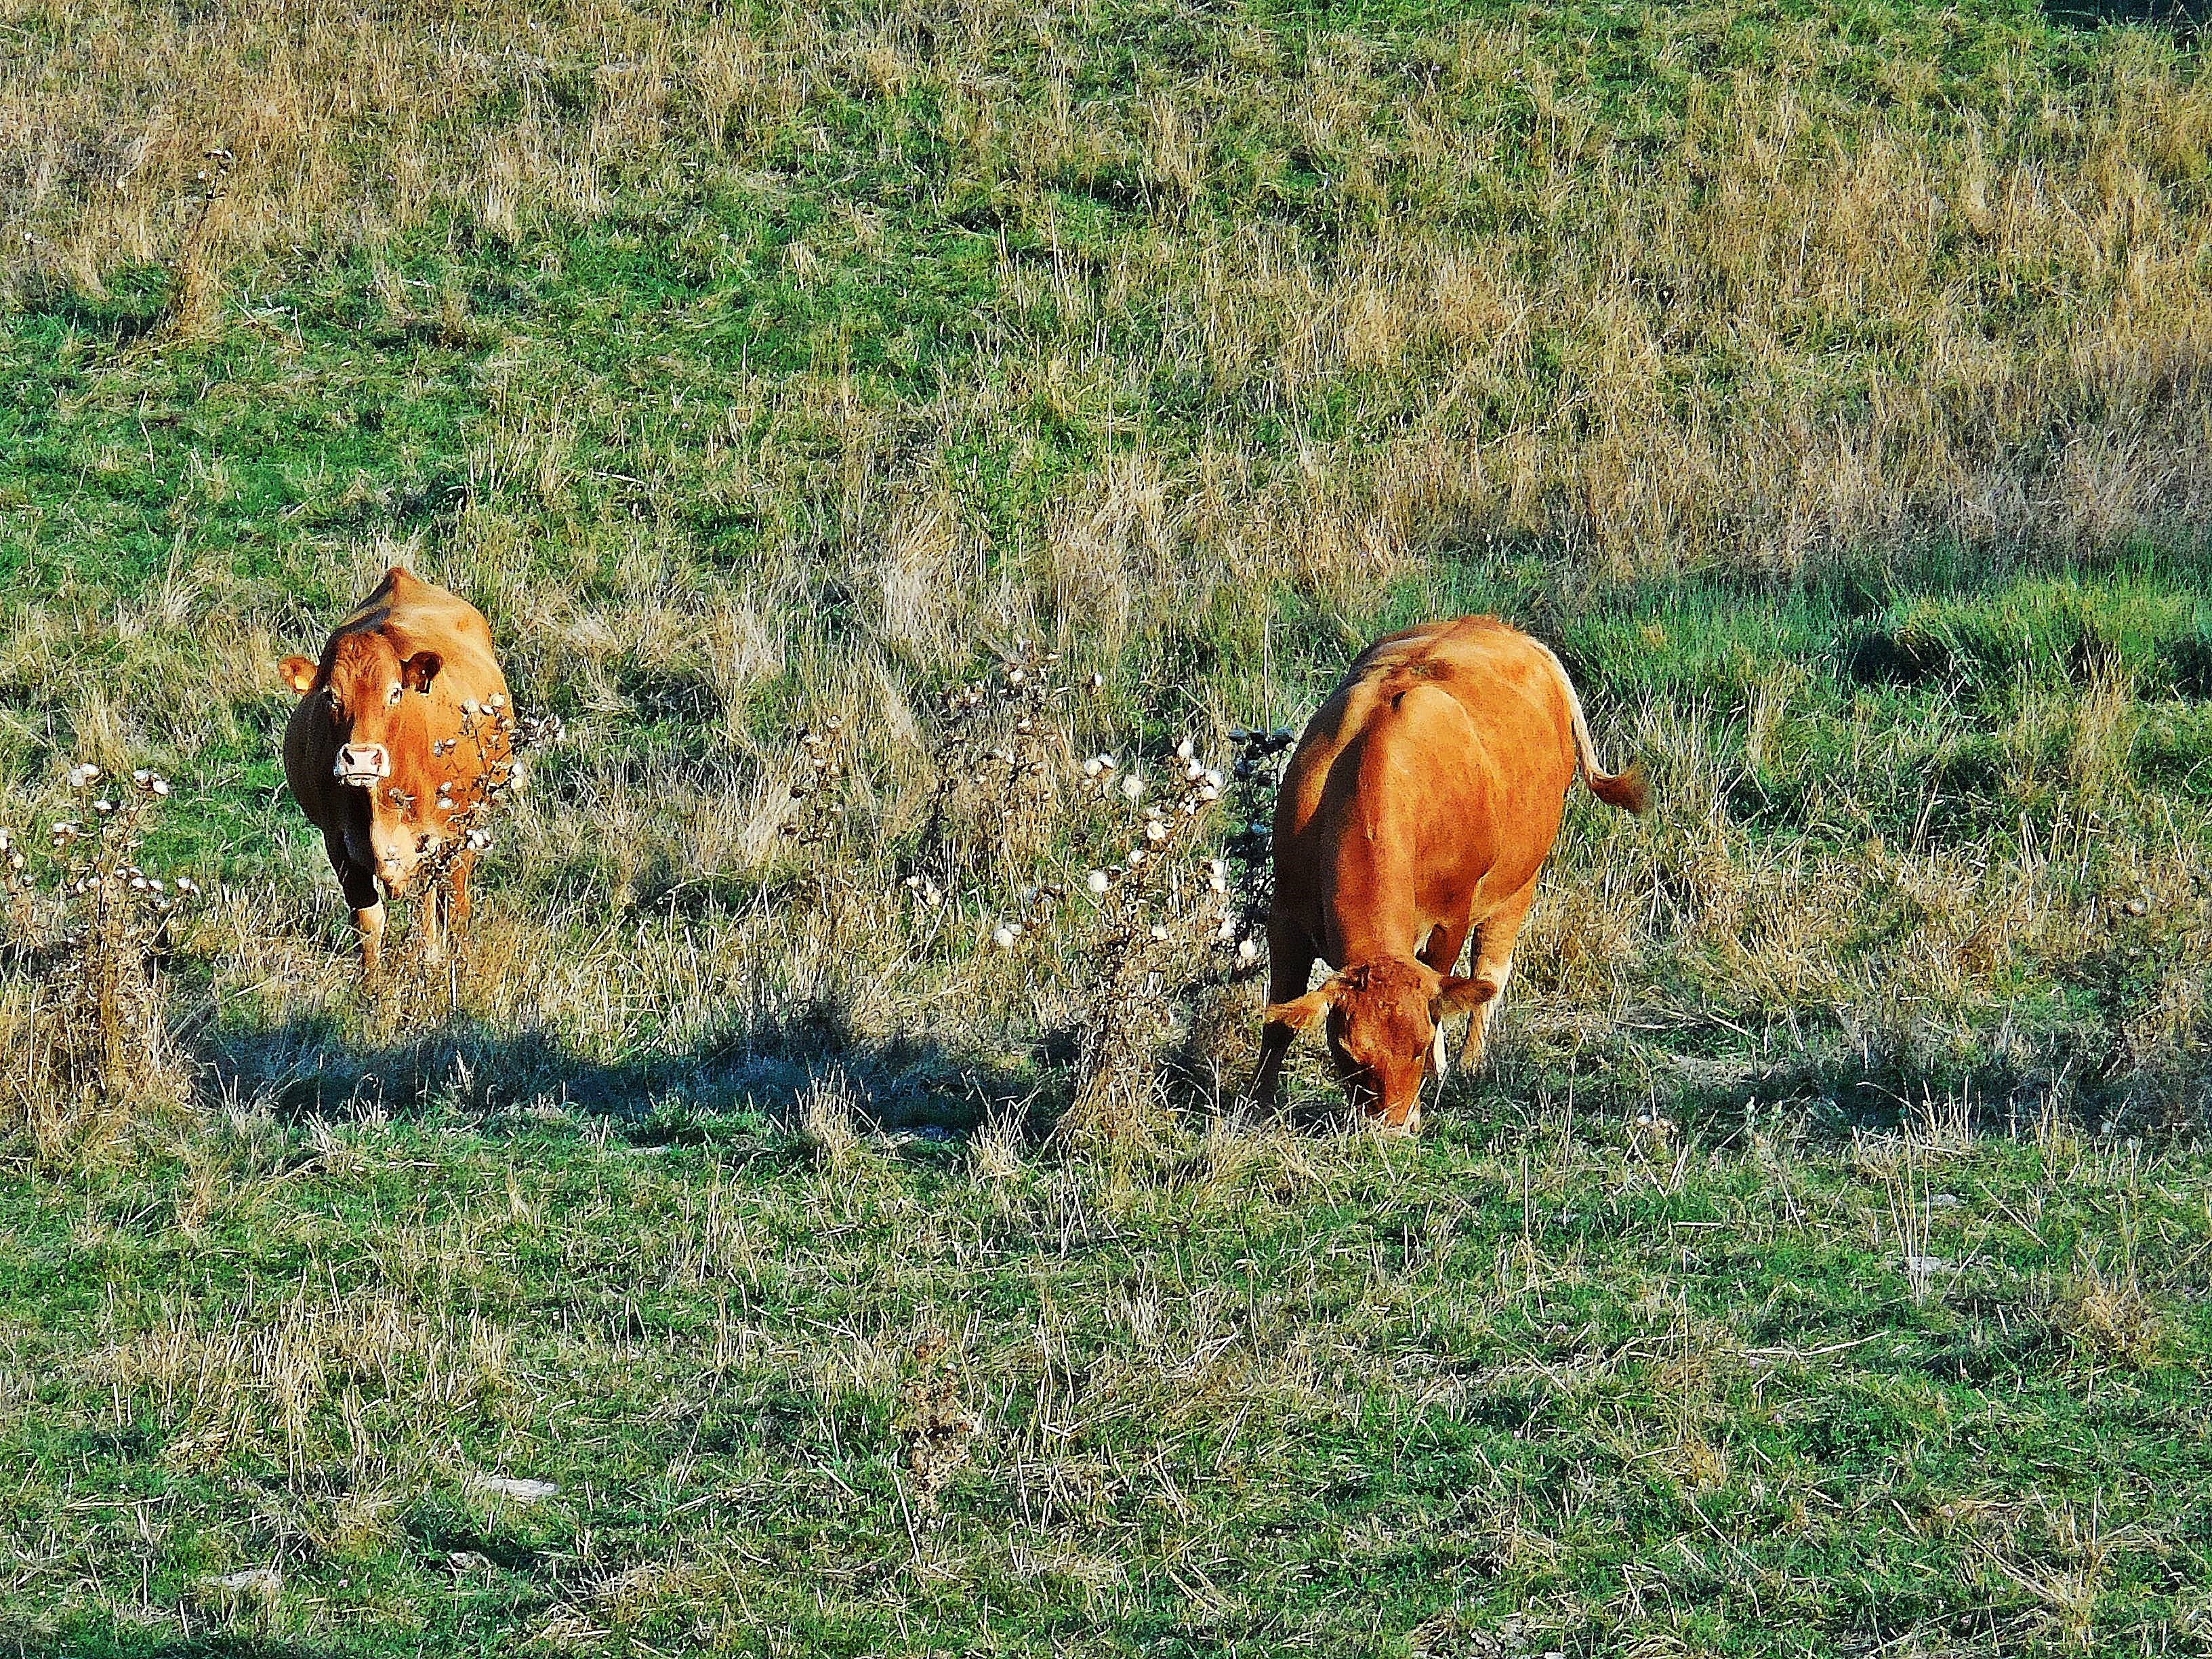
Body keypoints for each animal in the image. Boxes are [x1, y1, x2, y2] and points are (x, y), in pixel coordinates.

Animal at [276, 571, 513, 973]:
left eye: (395, 693)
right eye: (331, 696)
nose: (361, 759)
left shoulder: (450, 837)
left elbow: (446, 909)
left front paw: (451, 968)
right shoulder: (339, 844)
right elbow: (369, 922)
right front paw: (372, 983)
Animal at [1247, 619, 1645, 1141]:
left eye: (1417, 1048)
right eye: (1349, 1055)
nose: (1392, 1130)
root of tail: (1508, 631)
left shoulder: (1450, 916)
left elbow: (1445, 986)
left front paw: (1437, 1071)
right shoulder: (1286, 916)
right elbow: (1280, 1019)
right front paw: (1256, 1101)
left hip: (1519, 881)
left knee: (1490, 970)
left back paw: (1471, 1061)